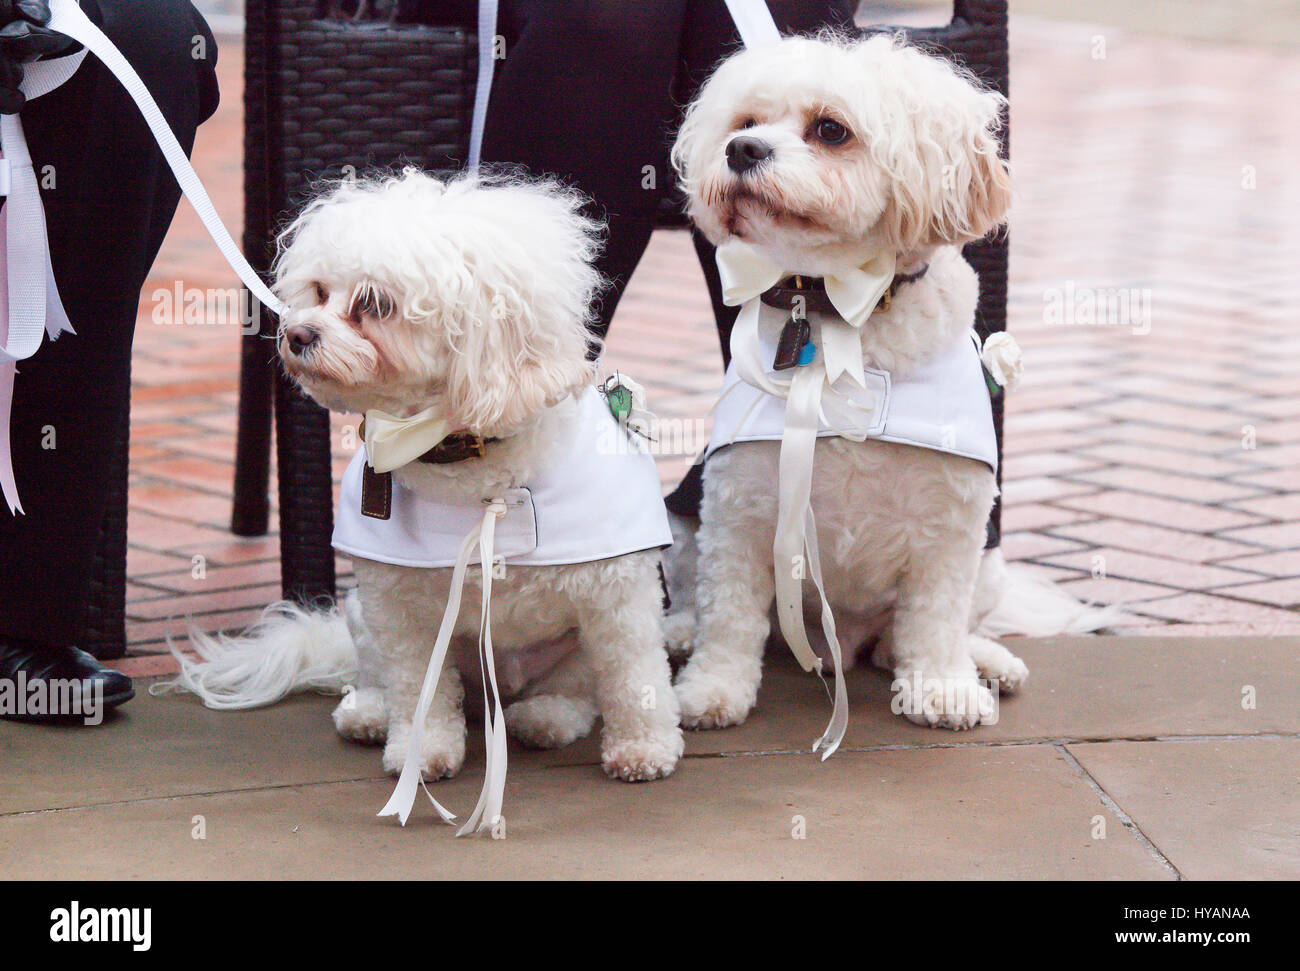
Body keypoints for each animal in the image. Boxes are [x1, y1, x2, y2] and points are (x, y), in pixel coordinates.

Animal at [162, 168, 681, 805]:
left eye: (374, 304)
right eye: (319, 291)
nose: (297, 334)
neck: (465, 454)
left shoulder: (618, 595)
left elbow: (635, 678)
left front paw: (644, 749)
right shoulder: (399, 607)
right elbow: (418, 688)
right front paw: (421, 752)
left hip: (573, 648)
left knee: (577, 689)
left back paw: (548, 716)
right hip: (363, 615)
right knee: (380, 676)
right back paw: (369, 711)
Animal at [665, 32, 1102, 738]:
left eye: (830, 129)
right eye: (745, 122)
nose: (741, 150)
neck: (844, 311)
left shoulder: (954, 523)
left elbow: (937, 616)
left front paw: (944, 687)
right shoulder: (738, 507)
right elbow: (729, 613)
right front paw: (712, 688)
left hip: (989, 563)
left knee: (918, 633)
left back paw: (985, 661)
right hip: (684, 526)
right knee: (692, 594)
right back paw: (678, 632)